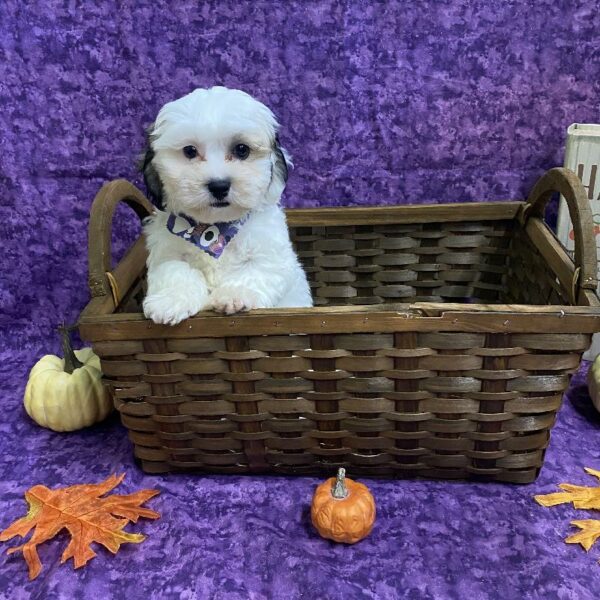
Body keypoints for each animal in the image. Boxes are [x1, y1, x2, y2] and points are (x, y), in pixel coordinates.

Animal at [138, 85, 312, 324]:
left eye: (242, 150)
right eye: (189, 151)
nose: (219, 185)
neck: (215, 230)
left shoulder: (271, 254)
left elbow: (255, 270)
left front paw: (234, 295)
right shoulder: (167, 251)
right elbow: (175, 270)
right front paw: (170, 302)